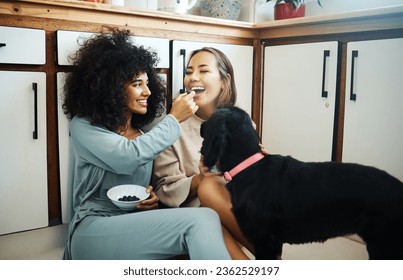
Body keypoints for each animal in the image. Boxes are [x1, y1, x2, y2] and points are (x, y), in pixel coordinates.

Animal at [201, 105, 403, 260]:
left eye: (212, 117)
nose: (201, 123)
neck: (250, 166)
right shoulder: (273, 243)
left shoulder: (265, 241)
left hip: (384, 244)